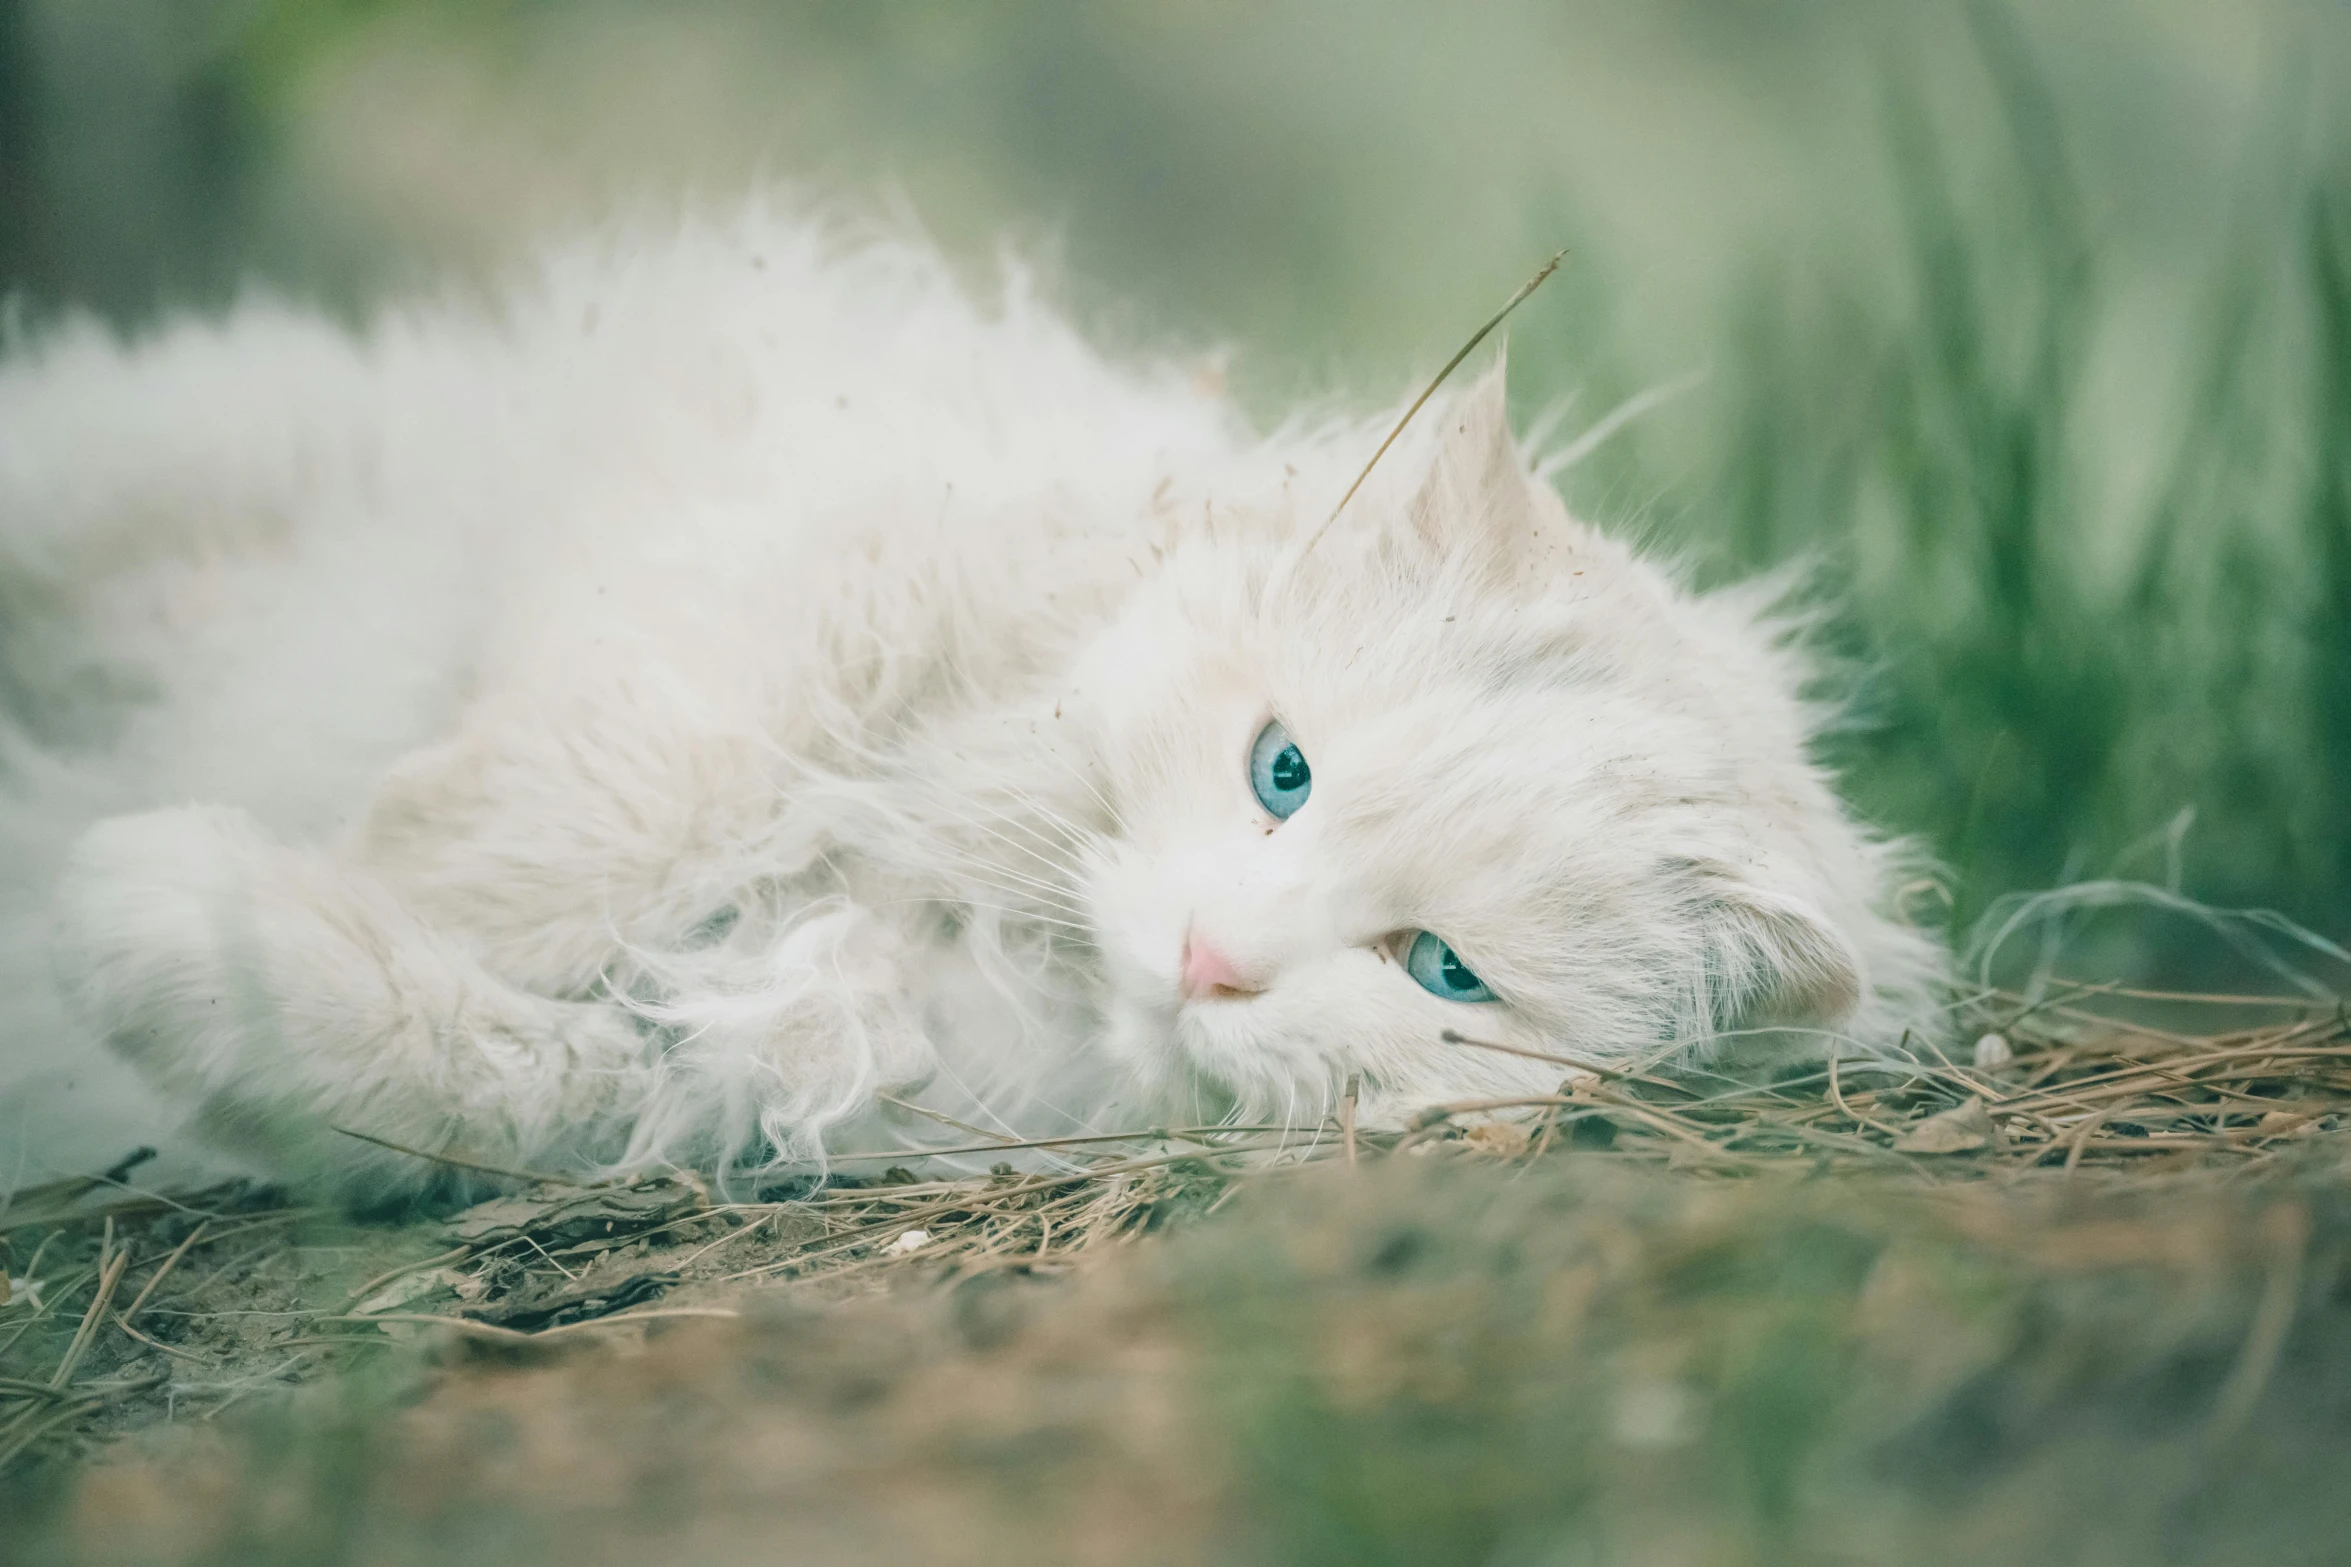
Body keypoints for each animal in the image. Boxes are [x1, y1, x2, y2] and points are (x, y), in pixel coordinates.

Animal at [0, 199, 1946, 1202]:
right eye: (1284, 772)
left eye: (1442, 976)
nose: (1211, 960)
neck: (992, 919)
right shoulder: (779, 590)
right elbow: (547, 835)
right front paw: (286, 848)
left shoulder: (751, 1082)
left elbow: (469, 1054)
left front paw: (140, 914)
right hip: (185, 447)